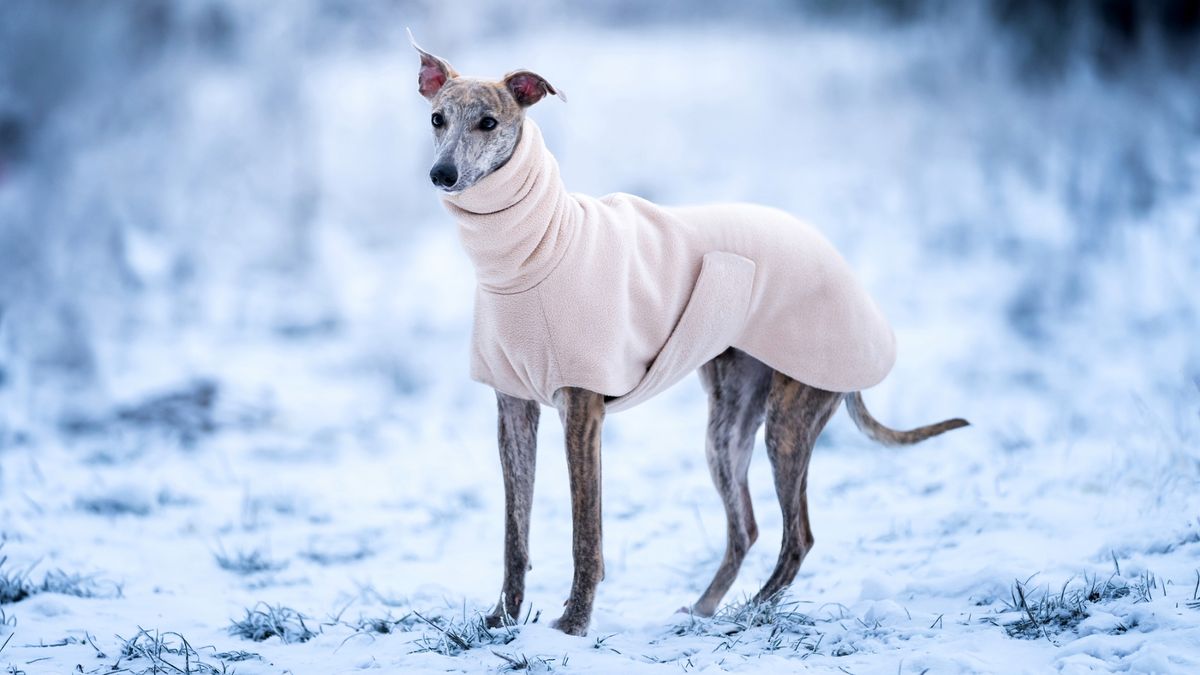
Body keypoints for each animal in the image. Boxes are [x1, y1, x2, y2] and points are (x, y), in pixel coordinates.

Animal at [412, 34, 964, 634]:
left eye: (488, 122)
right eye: (438, 118)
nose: (441, 174)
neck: (532, 248)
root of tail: (841, 265)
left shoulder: (582, 412)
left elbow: (587, 536)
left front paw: (573, 625)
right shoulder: (514, 409)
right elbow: (516, 531)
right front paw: (502, 621)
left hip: (788, 422)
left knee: (798, 535)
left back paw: (752, 611)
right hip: (726, 429)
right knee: (746, 526)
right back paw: (704, 610)